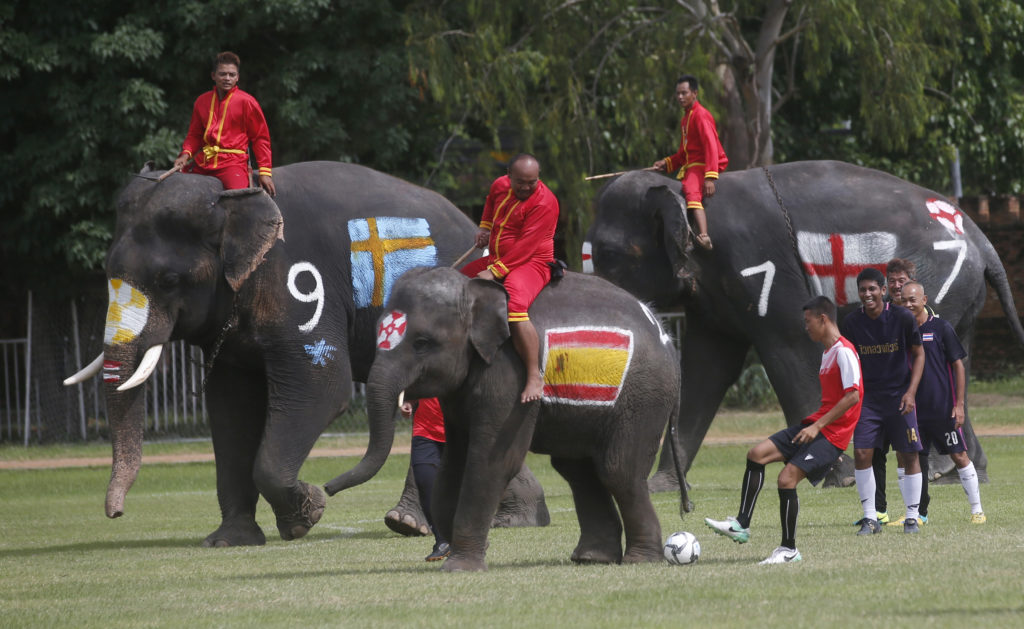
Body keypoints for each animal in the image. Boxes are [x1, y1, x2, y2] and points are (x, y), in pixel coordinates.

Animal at [61, 161, 552, 549]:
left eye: (168, 280)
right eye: (106, 270)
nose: (116, 514)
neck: (232, 199)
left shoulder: (299, 288)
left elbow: (321, 387)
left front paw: (305, 515)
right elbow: (230, 406)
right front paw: (230, 541)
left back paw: (416, 523)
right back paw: (512, 518)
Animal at [323, 268, 684, 573]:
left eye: (422, 343)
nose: (325, 489)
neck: (473, 292)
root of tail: (665, 334)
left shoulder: (510, 374)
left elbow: (492, 461)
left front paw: (459, 567)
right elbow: (453, 462)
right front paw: (452, 554)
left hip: (643, 397)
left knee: (618, 470)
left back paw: (640, 560)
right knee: (577, 470)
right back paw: (592, 558)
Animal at [585, 159, 1024, 489]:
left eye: (608, 254)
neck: (684, 191)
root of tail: (981, 239)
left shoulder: (761, 265)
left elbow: (789, 350)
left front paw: (835, 476)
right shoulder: (714, 300)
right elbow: (706, 369)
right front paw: (660, 486)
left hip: (937, 284)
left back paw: (933, 470)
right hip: (960, 296)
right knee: (954, 362)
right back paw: (956, 472)